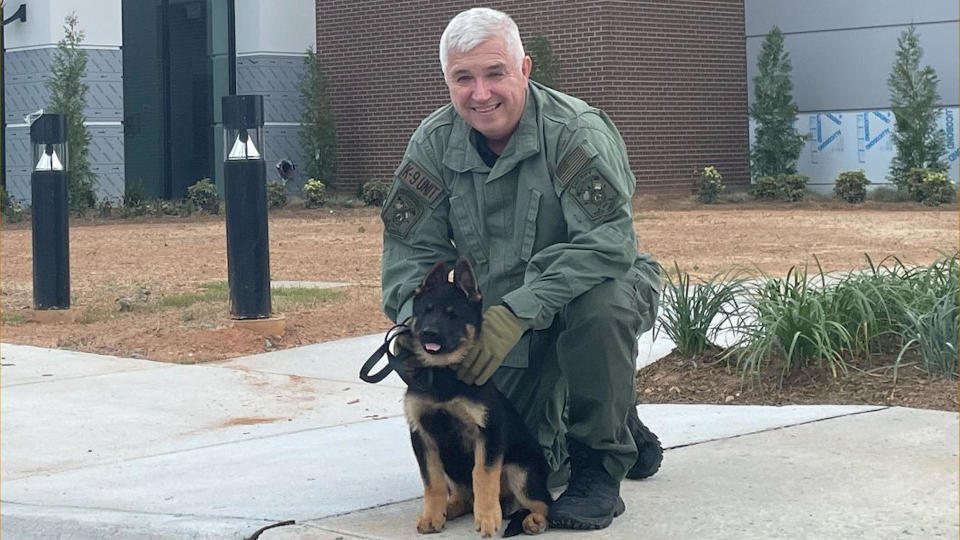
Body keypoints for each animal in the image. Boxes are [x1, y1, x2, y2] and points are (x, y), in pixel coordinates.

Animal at [404, 260, 552, 536]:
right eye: (426, 311)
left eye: (452, 315)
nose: (429, 333)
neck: (443, 375)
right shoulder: (422, 435)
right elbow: (432, 482)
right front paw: (432, 515)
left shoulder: (488, 432)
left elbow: (482, 475)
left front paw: (487, 517)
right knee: (461, 496)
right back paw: (448, 509)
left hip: (521, 470)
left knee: (545, 503)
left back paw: (533, 520)